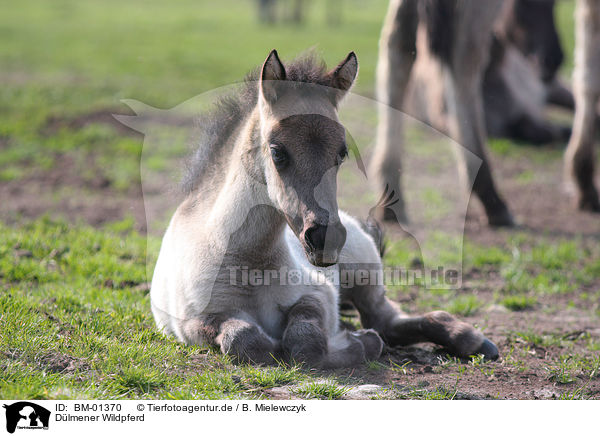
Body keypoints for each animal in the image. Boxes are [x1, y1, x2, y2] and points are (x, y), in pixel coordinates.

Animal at [149, 48, 496, 368]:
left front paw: (357, 343)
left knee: (385, 318)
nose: (325, 238)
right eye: (277, 151)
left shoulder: (316, 294)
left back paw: (473, 340)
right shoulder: (194, 321)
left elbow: (306, 340)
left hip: (365, 271)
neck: (250, 262)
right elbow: (245, 339)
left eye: (342, 153)